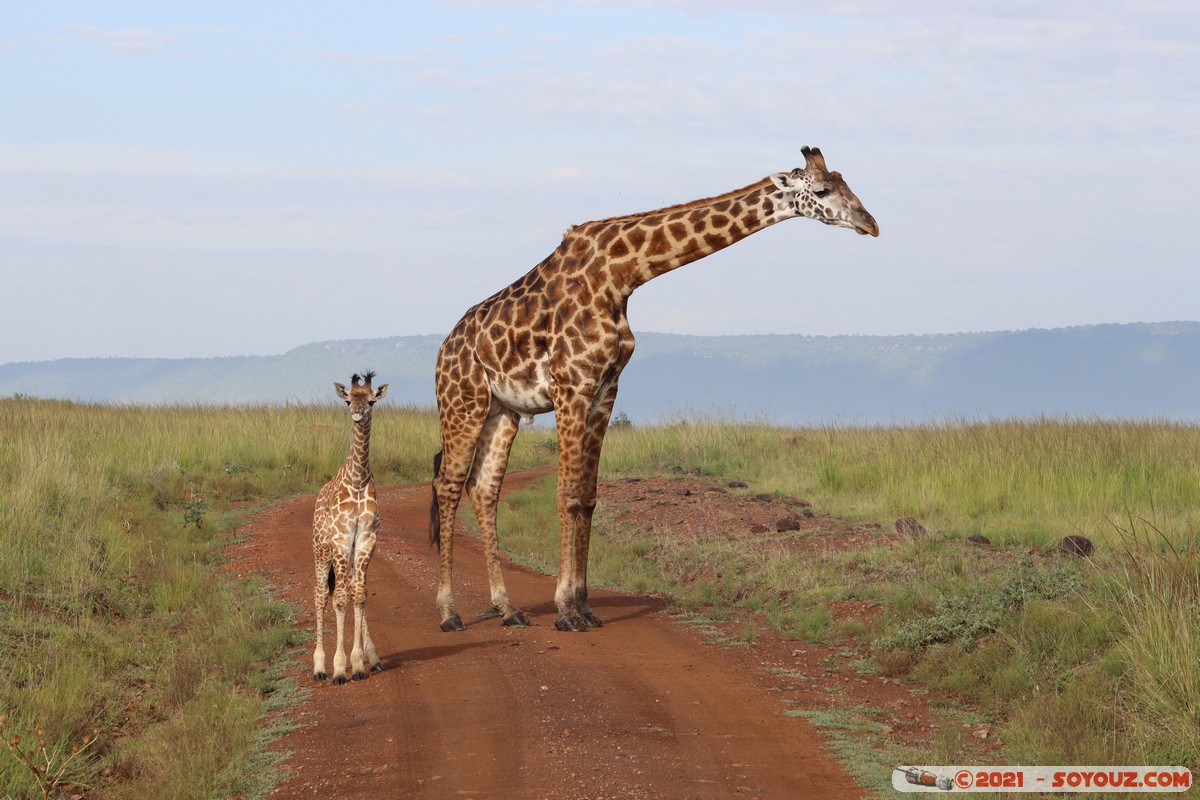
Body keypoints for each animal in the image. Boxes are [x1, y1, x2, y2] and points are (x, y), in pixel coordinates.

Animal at [427, 143, 878, 633]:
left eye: (845, 181)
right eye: (822, 190)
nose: (870, 223)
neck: (622, 276)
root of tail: (443, 350)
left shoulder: (606, 390)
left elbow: (588, 497)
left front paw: (585, 606)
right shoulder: (572, 386)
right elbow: (566, 495)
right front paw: (565, 611)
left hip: (502, 411)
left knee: (483, 488)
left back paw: (509, 608)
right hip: (463, 404)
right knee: (447, 484)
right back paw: (450, 613)